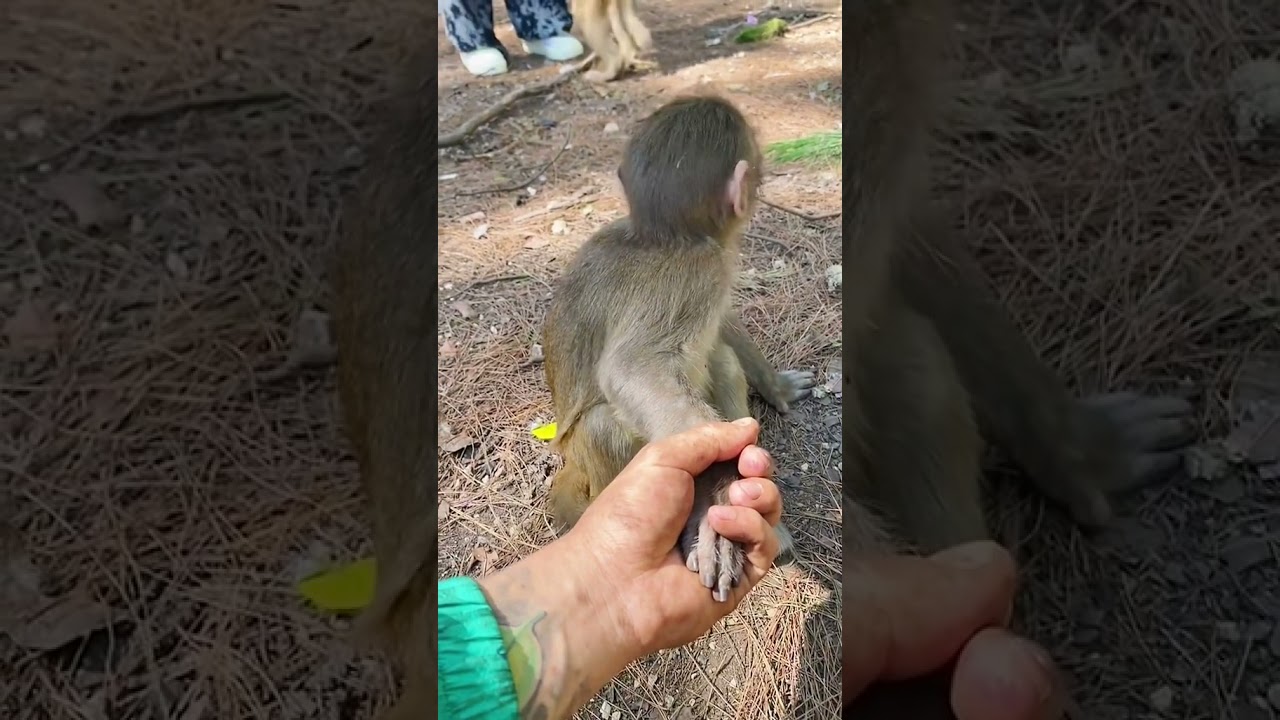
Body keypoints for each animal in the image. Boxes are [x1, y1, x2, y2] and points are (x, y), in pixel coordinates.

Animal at [540, 95, 816, 602]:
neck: (660, 235)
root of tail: (571, 463)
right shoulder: (700, 270)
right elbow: (633, 368)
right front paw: (716, 500)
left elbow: (721, 327)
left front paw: (775, 386)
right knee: (605, 423)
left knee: (720, 360)